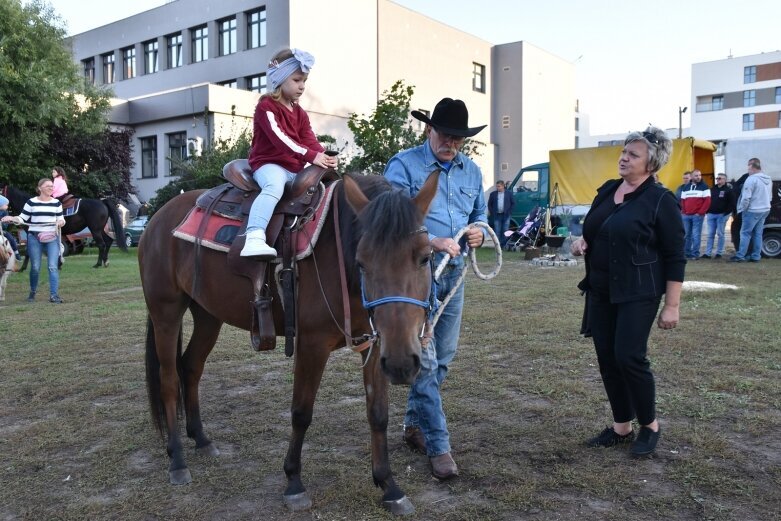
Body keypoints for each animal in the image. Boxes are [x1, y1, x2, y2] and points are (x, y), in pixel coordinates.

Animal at [137, 173, 436, 512]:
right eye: (362, 262)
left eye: (425, 257)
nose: (401, 364)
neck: (336, 251)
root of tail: (159, 217)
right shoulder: (312, 345)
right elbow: (301, 413)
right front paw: (294, 482)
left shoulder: (374, 344)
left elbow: (378, 414)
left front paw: (389, 486)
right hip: (166, 312)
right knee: (168, 380)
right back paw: (177, 459)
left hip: (208, 315)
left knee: (191, 367)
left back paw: (201, 439)